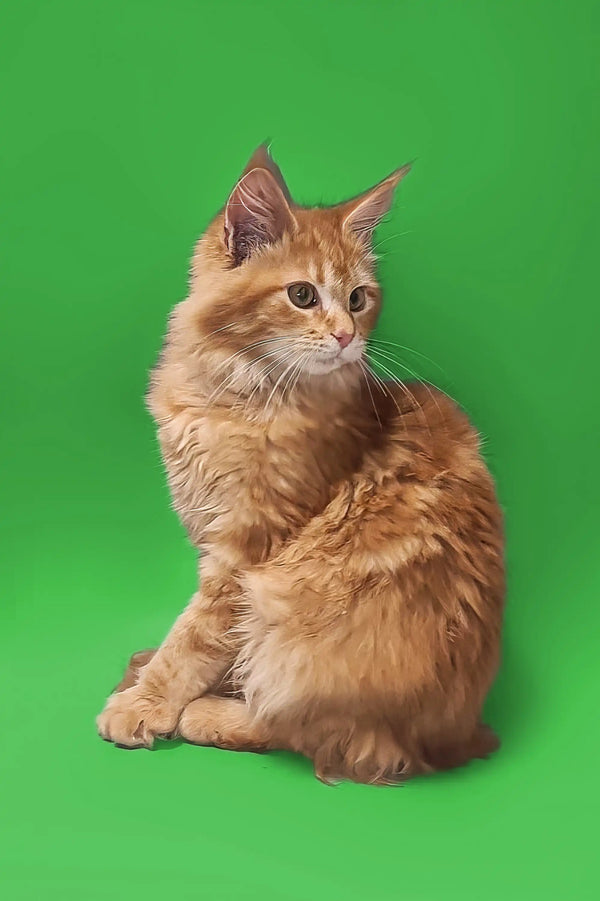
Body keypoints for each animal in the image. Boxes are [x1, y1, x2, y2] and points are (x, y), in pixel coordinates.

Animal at [96, 146, 504, 780]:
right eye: (303, 296)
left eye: (358, 299)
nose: (346, 337)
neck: (236, 393)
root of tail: (453, 739)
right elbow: (201, 640)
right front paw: (152, 676)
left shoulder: (247, 549)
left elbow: (196, 637)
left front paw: (148, 703)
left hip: (291, 613)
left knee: (318, 735)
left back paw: (211, 713)